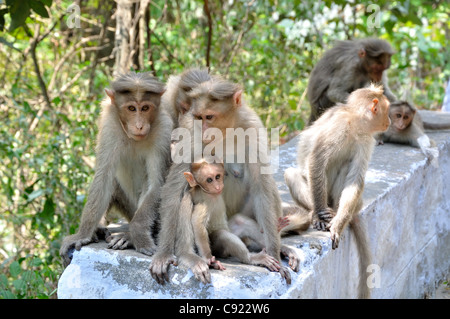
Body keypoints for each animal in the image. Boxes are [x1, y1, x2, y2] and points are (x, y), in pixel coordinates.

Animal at [59, 72, 172, 268]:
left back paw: (129, 236)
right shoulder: (109, 124)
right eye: (131, 109)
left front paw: (138, 236)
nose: (139, 125)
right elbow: (103, 176)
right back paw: (98, 230)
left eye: (145, 108)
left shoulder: (164, 131)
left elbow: (157, 184)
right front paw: (82, 235)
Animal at [150, 77, 298, 284]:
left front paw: (275, 254)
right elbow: (174, 188)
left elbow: (261, 185)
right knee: (186, 196)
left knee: (259, 196)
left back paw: (276, 247)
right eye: (199, 117)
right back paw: (189, 255)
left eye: (209, 117)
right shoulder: (191, 131)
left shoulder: (252, 126)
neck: (226, 130)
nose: (204, 129)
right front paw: (163, 254)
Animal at [286, 85, 392, 300]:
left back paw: (337, 213)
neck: (355, 123)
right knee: (292, 174)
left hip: (336, 199)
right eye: (387, 110)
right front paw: (319, 216)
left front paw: (339, 223)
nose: (390, 121)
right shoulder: (339, 126)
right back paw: (316, 212)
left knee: (346, 168)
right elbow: (317, 160)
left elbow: (355, 179)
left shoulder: (366, 140)